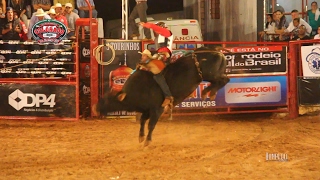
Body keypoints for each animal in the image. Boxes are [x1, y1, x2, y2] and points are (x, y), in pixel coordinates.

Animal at [93, 47, 230, 146]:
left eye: (107, 101)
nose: (95, 108)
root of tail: (218, 52)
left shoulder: (157, 109)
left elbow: (151, 124)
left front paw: (147, 141)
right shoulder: (146, 110)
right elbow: (142, 121)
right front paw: (141, 137)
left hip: (210, 74)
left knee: (224, 80)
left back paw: (207, 92)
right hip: (212, 75)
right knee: (223, 80)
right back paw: (208, 92)